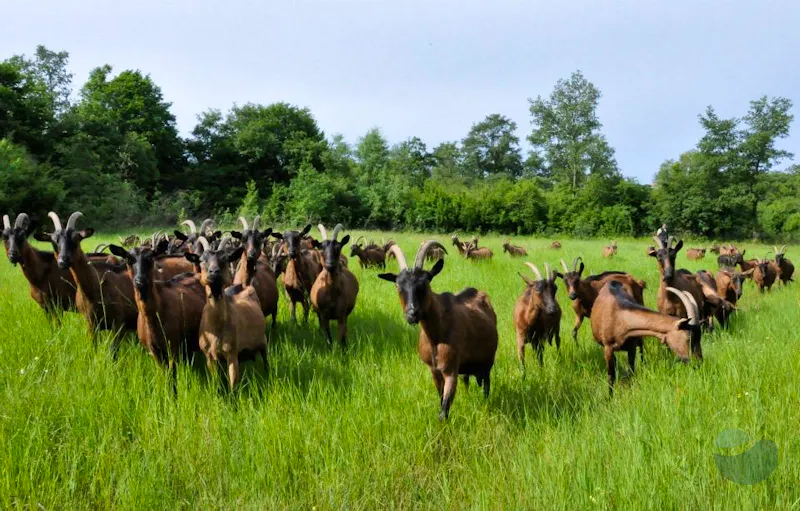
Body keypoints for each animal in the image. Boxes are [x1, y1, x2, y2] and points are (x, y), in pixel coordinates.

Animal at [47, 212, 138, 351]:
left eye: (76, 238)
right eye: (55, 240)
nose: (62, 261)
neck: (94, 289)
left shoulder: (118, 323)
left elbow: (113, 350)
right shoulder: (91, 324)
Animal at [186, 240, 266, 391]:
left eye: (225, 259)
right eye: (202, 260)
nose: (214, 272)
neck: (216, 328)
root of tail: (245, 285)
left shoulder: (232, 353)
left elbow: (233, 385)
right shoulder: (209, 356)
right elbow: (215, 382)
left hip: (262, 341)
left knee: (265, 359)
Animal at [378, 241, 497, 421]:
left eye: (425, 283)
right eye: (398, 285)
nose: (412, 314)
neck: (435, 336)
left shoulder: (450, 370)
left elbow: (443, 412)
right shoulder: (434, 370)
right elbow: (441, 400)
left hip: (487, 361)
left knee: (486, 385)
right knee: (467, 380)